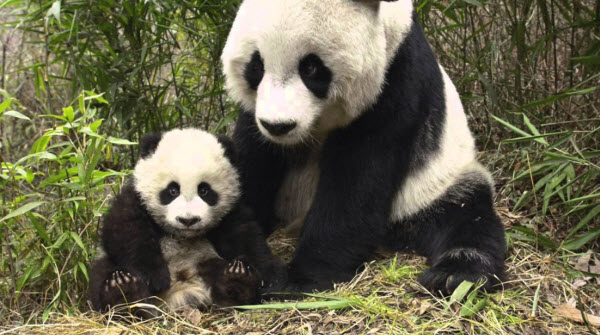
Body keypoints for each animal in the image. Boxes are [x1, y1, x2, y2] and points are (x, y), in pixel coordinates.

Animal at [89, 128, 284, 312]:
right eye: (172, 190)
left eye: (204, 190)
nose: (188, 220)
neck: (181, 236)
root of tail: (180, 293)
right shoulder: (135, 197)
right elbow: (125, 230)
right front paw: (154, 277)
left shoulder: (231, 211)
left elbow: (244, 235)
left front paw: (267, 276)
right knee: (102, 272)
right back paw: (123, 292)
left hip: (205, 260)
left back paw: (238, 282)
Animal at [220, 0, 506, 296]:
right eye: (256, 66)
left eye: (310, 68)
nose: (278, 126)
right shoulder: (254, 116)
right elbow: (253, 159)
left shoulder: (395, 81)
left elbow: (357, 181)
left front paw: (301, 279)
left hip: (436, 184)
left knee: (466, 216)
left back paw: (454, 274)